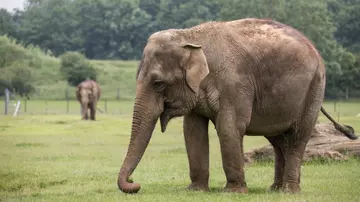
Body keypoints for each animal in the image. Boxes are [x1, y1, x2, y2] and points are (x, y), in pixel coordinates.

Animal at [116, 18, 358, 194]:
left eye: (158, 84)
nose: (134, 183)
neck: (190, 35)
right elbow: (193, 131)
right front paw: (195, 191)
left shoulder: (235, 84)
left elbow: (229, 128)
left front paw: (232, 192)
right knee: (279, 141)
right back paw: (274, 190)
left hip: (314, 88)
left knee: (297, 137)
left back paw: (289, 192)